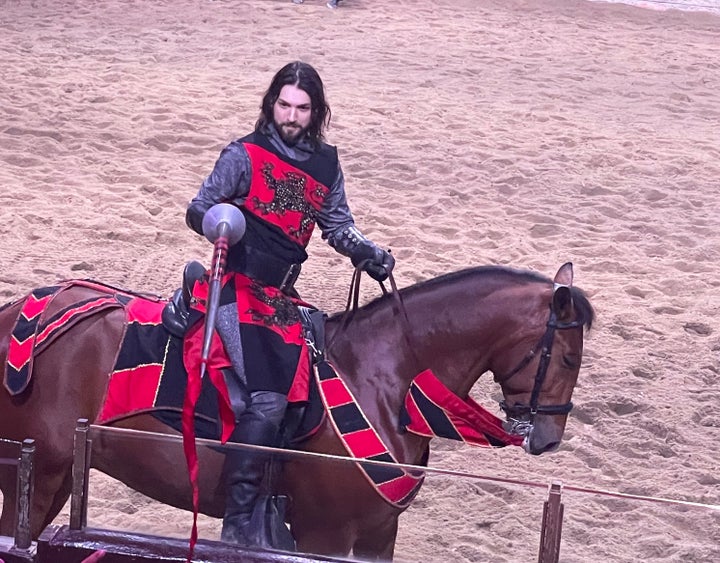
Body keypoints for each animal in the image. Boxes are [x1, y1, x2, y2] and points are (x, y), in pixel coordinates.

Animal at [0, 264, 592, 560]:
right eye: (567, 356)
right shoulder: (321, 534)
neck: (382, 378)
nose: (548, 436)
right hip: (40, 474)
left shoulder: (378, 534)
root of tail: (25, 309)